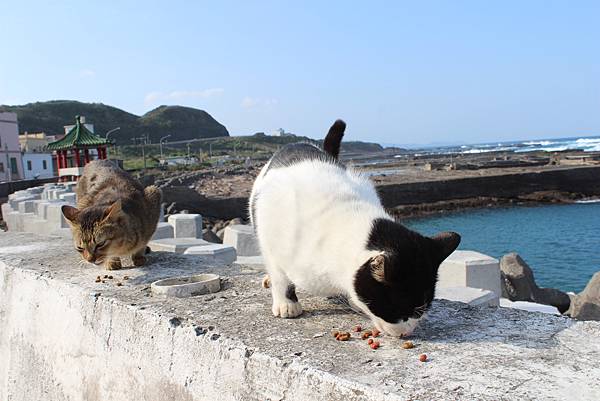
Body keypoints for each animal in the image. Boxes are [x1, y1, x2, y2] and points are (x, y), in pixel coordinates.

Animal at [248, 120, 460, 336]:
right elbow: (281, 278)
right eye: (399, 310)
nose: (408, 332)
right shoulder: (273, 241)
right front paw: (286, 302)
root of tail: (297, 144)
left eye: (423, 310)